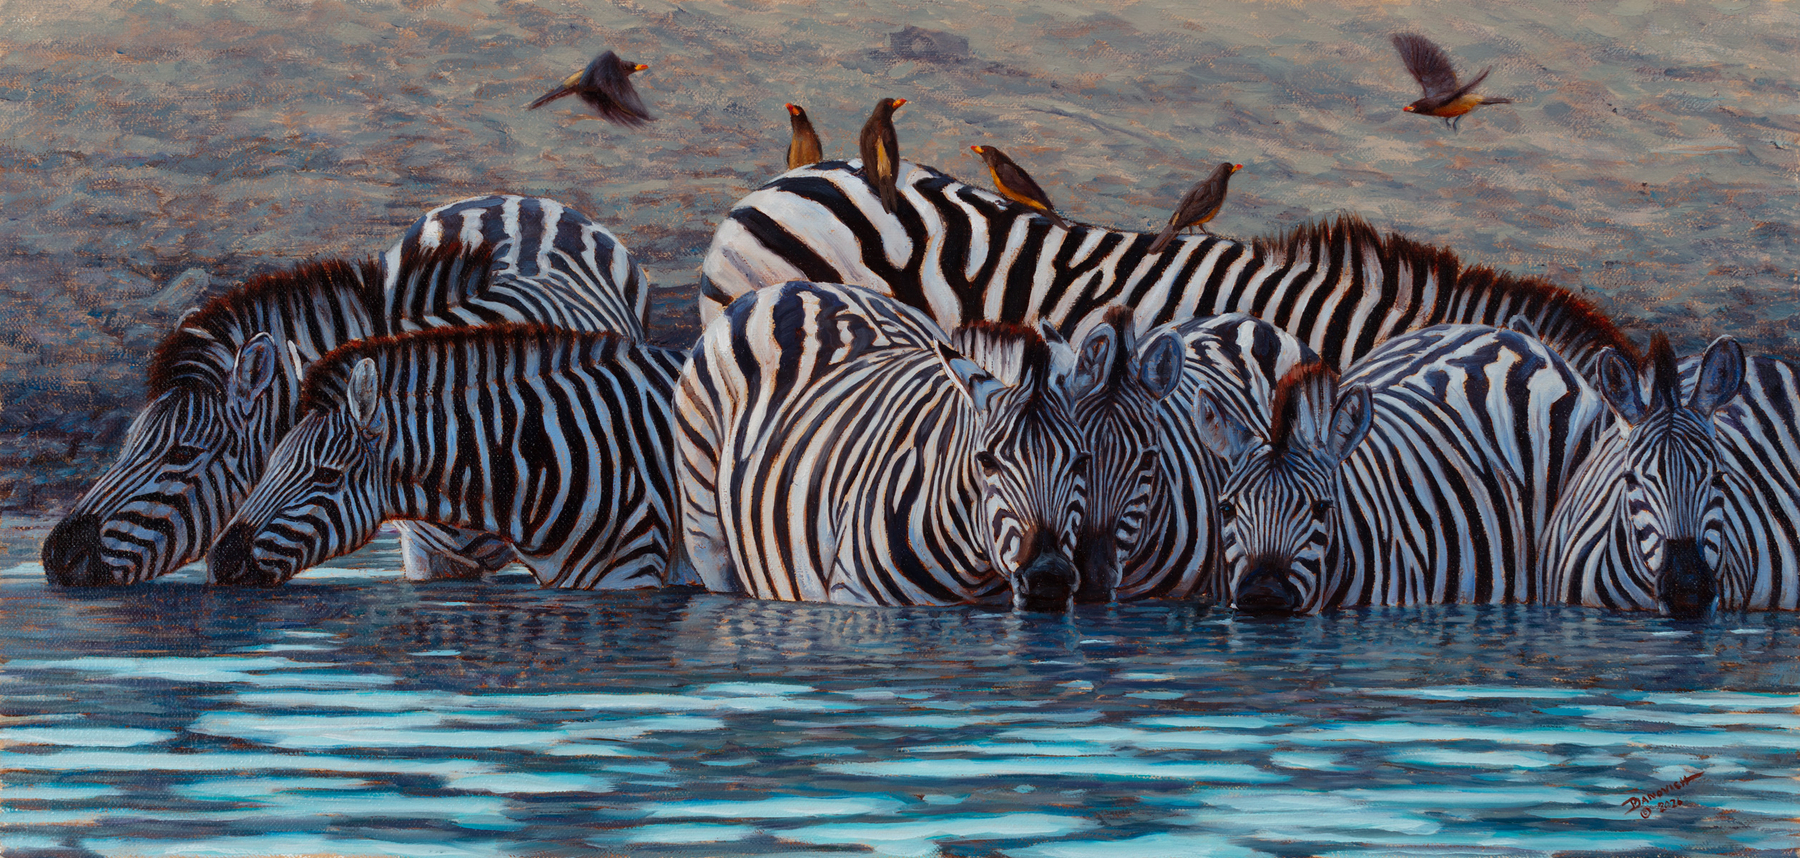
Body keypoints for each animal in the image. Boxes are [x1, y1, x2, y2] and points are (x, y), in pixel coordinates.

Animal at [674, 280, 1091, 611]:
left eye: (1083, 462)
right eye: (986, 461)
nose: (1049, 580)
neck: (973, 570)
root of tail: (798, 286)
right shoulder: (858, 601)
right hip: (708, 538)